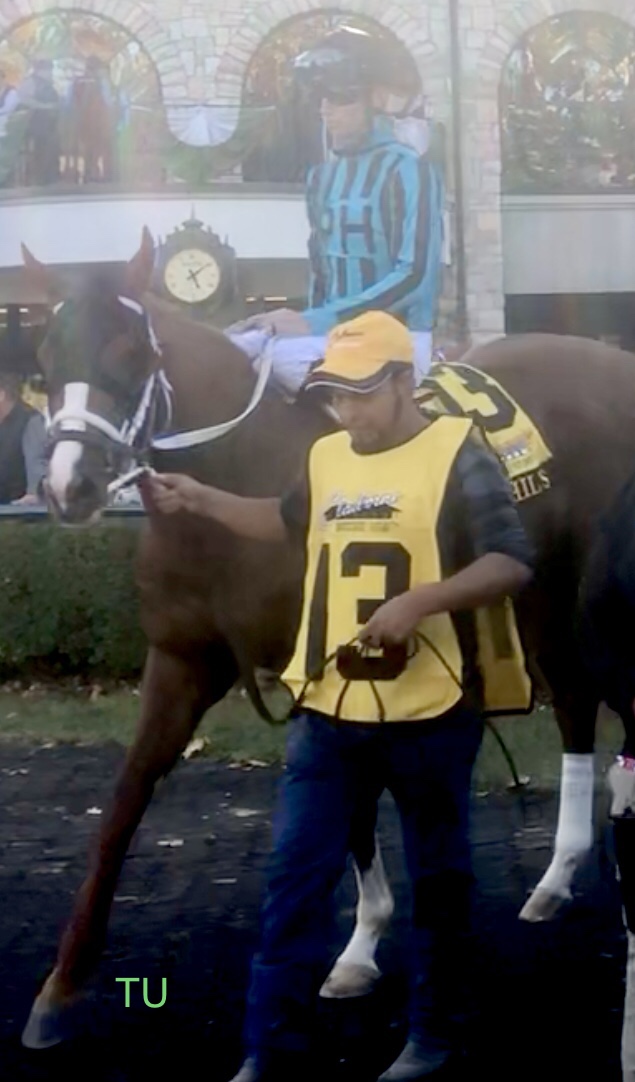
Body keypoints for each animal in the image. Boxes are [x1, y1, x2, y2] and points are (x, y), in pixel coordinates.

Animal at [17, 228, 635, 1047]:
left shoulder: (332, 660)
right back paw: (555, 878)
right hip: (536, 590)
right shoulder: (181, 660)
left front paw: (359, 948)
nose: (69, 486)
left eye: (131, 354)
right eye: (45, 358)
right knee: (572, 699)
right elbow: (123, 802)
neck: (236, 482)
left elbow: (354, 798)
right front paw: (59, 988)